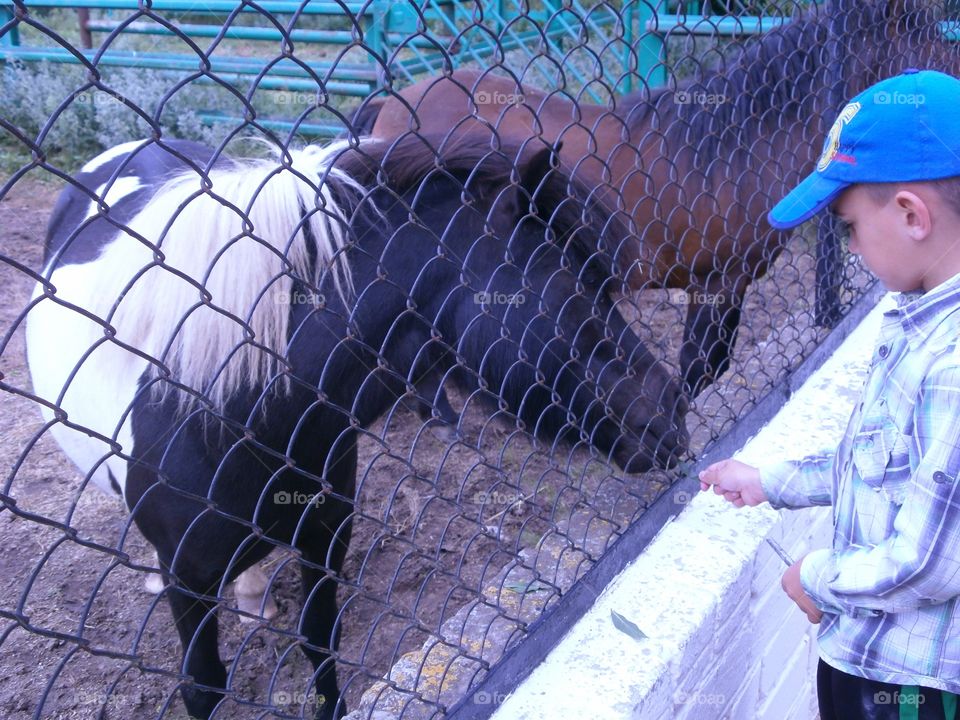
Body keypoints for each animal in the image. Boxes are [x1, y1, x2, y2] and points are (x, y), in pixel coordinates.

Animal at [26, 134, 688, 716]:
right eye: (578, 286)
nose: (673, 418)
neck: (226, 415)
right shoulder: (187, 578)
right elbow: (203, 685)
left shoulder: (326, 535)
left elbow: (321, 644)